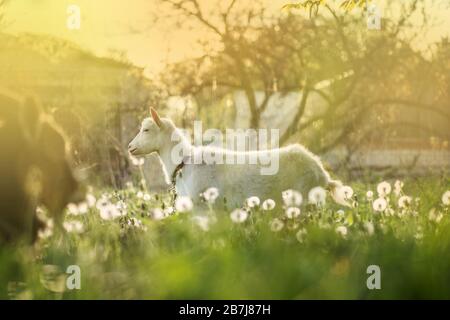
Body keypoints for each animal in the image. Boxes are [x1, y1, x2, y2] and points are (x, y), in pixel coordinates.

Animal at [128, 107, 346, 208]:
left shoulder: (203, 207)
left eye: (146, 130)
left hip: (305, 198)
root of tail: (322, 174)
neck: (184, 162)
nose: (130, 147)